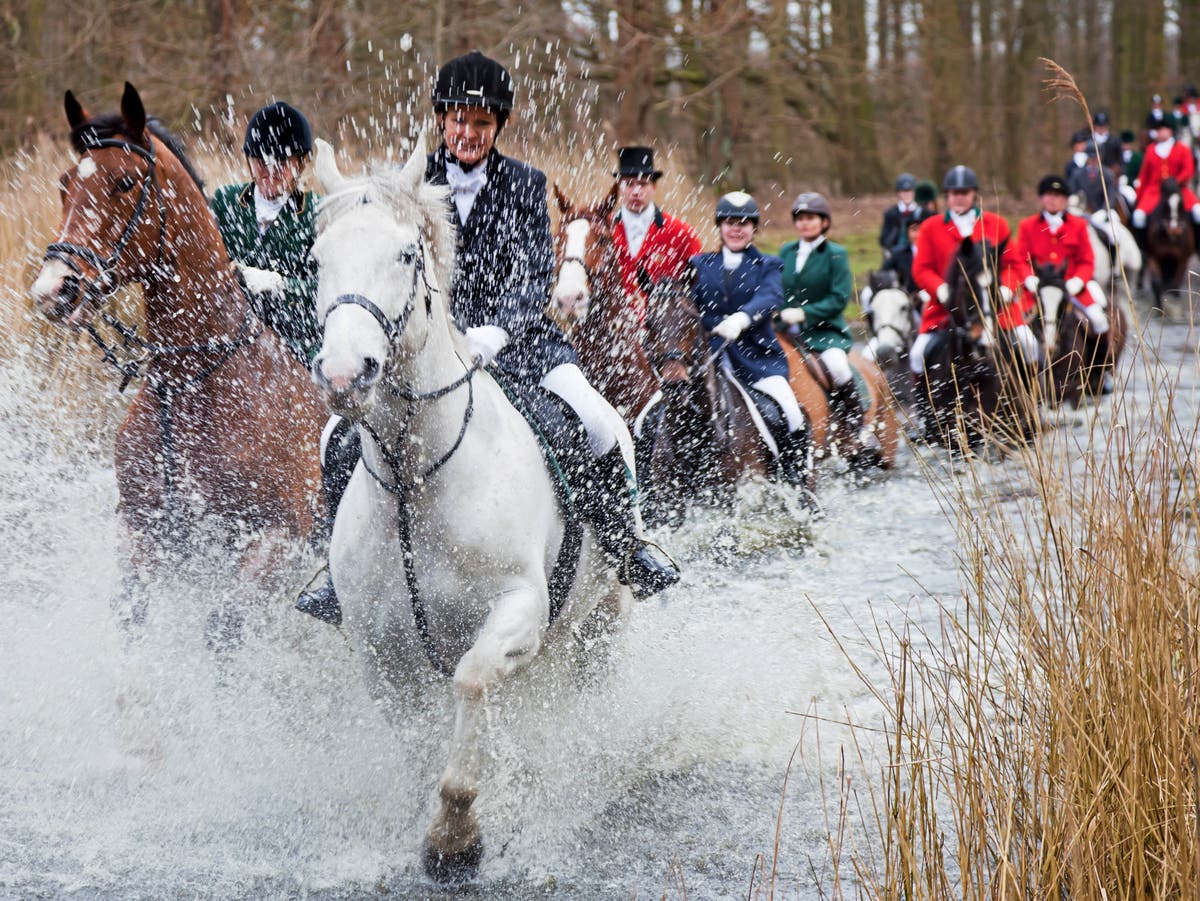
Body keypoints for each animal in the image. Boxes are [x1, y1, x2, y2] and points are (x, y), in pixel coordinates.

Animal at [31, 84, 326, 633]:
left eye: (125, 183)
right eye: (65, 183)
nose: (53, 290)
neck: (192, 382)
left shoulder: (277, 543)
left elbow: (222, 626)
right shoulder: (145, 534)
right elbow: (131, 613)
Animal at [309, 139, 633, 883]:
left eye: (406, 254)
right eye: (316, 259)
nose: (344, 374)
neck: (416, 481)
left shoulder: (519, 609)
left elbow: (474, 681)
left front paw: (455, 840)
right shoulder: (379, 649)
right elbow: (414, 741)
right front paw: (436, 821)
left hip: (601, 619)